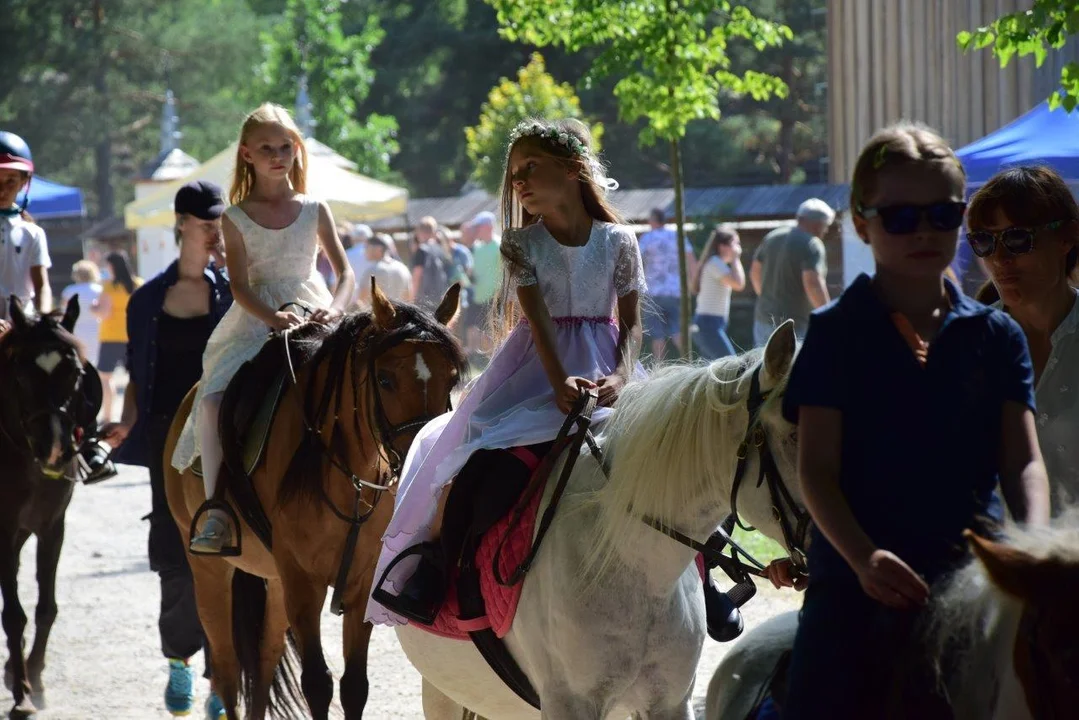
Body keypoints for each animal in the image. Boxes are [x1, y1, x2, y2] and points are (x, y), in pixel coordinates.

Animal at [162, 287, 463, 720]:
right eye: (385, 379)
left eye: (452, 379)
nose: (424, 460)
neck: (348, 476)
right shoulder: (304, 581)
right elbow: (318, 684)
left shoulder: (359, 583)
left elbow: (354, 686)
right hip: (210, 570)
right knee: (227, 669)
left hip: (274, 580)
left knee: (263, 660)